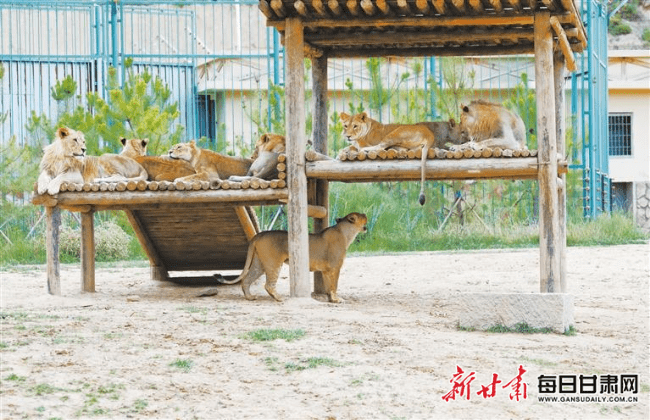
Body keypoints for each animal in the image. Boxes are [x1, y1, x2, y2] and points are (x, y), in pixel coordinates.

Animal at [218, 212, 368, 304]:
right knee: (268, 284)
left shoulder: (326, 270)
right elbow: (334, 285)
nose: (365, 214)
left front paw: (331, 299)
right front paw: (337, 300)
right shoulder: (335, 267)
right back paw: (279, 298)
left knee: (247, 280)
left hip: (258, 263)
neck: (346, 233)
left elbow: (328, 285)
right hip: (273, 263)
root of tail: (258, 235)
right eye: (361, 215)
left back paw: (250, 297)